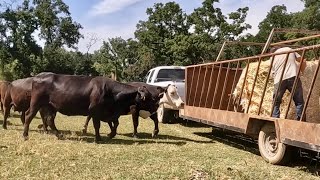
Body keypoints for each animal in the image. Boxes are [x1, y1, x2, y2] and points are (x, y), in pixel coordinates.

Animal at [22, 72, 152, 141]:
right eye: (148, 97)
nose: (154, 107)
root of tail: (39, 75)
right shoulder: (95, 111)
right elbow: (97, 125)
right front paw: (98, 138)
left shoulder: (109, 114)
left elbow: (115, 124)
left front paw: (110, 134)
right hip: (36, 103)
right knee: (29, 116)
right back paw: (25, 135)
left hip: (50, 106)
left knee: (50, 120)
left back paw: (59, 135)